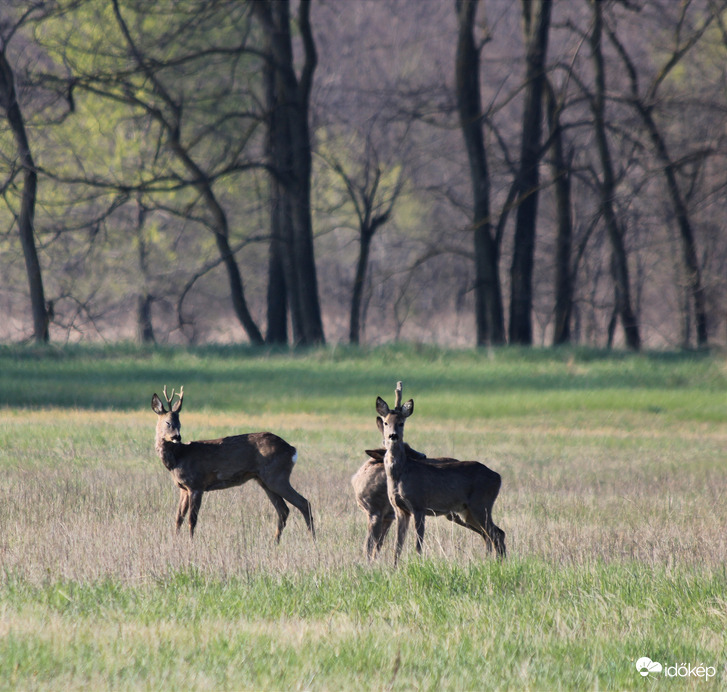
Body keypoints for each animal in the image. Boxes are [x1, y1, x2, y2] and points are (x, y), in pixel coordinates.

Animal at [152, 384, 314, 540]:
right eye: (168, 422)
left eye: (179, 423)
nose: (177, 437)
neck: (179, 457)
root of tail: (292, 450)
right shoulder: (183, 488)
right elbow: (178, 518)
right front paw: (175, 540)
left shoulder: (196, 484)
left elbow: (192, 519)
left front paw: (191, 542)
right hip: (265, 480)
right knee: (283, 510)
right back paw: (275, 542)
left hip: (277, 476)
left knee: (303, 503)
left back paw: (312, 540)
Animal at [376, 382, 506, 564]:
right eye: (386, 422)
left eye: (401, 423)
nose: (393, 436)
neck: (400, 473)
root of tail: (498, 477)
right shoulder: (400, 509)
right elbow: (398, 545)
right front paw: (394, 567)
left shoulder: (419, 504)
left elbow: (418, 543)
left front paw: (419, 563)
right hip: (467, 511)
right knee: (492, 534)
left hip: (481, 504)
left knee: (497, 533)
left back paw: (500, 563)